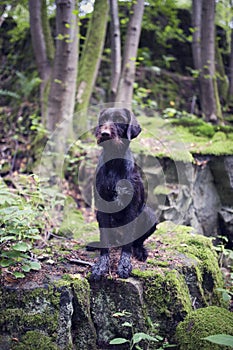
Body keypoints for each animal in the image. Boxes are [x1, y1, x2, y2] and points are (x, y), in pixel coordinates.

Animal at [90, 108, 157, 280]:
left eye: (119, 120)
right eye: (103, 119)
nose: (105, 133)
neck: (114, 162)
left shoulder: (131, 207)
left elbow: (128, 242)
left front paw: (124, 265)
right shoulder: (102, 207)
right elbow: (105, 240)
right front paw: (101, 265)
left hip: (150, 215)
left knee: (137, 242)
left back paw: (140, 251)